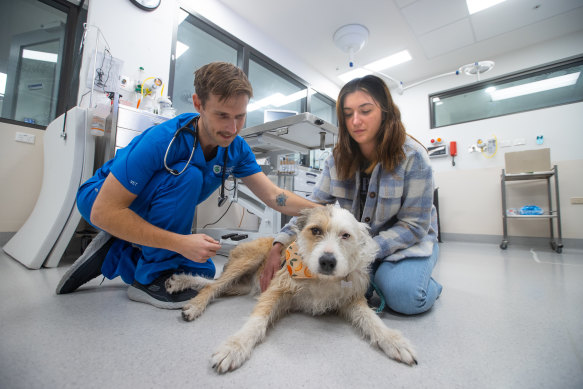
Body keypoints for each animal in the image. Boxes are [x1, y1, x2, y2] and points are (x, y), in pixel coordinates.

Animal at [167, 205, 418, 372]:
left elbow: (372, 320)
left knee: (214, 285)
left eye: (345, 235)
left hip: (242, 285)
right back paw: (193, 303)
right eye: (315, 230)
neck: (318, 278)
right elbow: (256, 321)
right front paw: (235, 346)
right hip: (247, 261)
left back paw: (179, 282)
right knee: (213, 287)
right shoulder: (276, 289)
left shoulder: (350, 298)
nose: (328, 261)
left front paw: (394, 341)